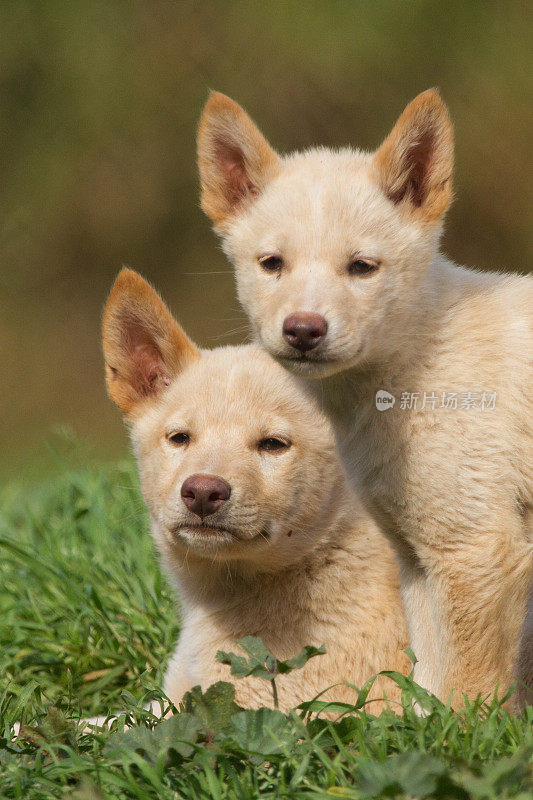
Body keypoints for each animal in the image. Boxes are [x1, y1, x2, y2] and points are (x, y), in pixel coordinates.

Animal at [196, 89, 532, 708]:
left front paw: (467, 735)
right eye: (271, 264)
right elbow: (430, 683)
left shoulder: (477, 548)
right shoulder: (417, 559)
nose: (304, 330)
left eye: (361, 267)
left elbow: (469, 691)